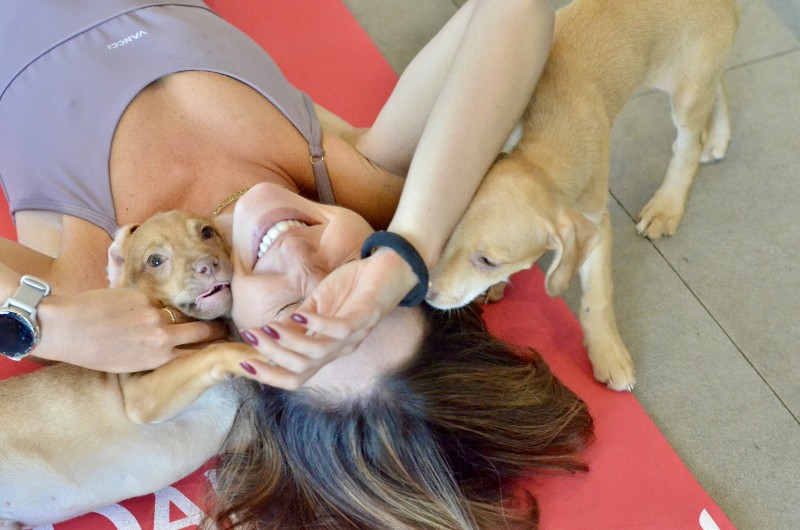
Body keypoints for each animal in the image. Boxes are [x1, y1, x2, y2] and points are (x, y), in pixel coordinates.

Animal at [427, 0, 739, 391]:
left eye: (488, 261)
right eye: (446, 232)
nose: (427, 293)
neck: (542, 147)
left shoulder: (596, 221)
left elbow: (597, 295)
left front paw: (607, 354)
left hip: (686, 91)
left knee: (688, 145)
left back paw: (668, 204)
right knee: (720, 86)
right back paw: (718, 138)